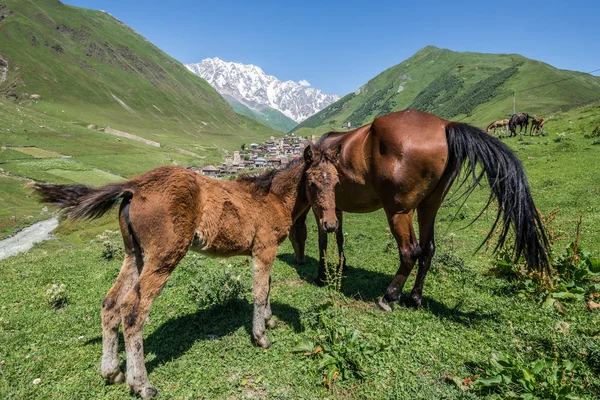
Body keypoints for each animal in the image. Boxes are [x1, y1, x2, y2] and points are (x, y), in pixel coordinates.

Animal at [32, 160, 316, 400]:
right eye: (315, 179)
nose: (327, 223)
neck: (273, 198)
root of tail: (136, 186)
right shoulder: (264, 249)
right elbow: (260, 290)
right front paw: (261, 336)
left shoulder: (264, 252)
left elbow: (266, 287)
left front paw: (269, 321)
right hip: (164, 257)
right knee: (132, 309)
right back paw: (141, 384)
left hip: (135, 255)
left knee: (111, 303)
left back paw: (112, 372)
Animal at [292, 110, 552, 312]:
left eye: (295, 235)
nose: (299, 258)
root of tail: (444, 125)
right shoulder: (335, 209)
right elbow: (338, 236)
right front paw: (341, 266)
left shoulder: (321, 209)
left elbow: (324, 239)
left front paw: (321, 275)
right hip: (429, 206)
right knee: (428, 250)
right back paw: (415, 297)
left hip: (399, 212)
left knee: (410, 252)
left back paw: (389, 296)